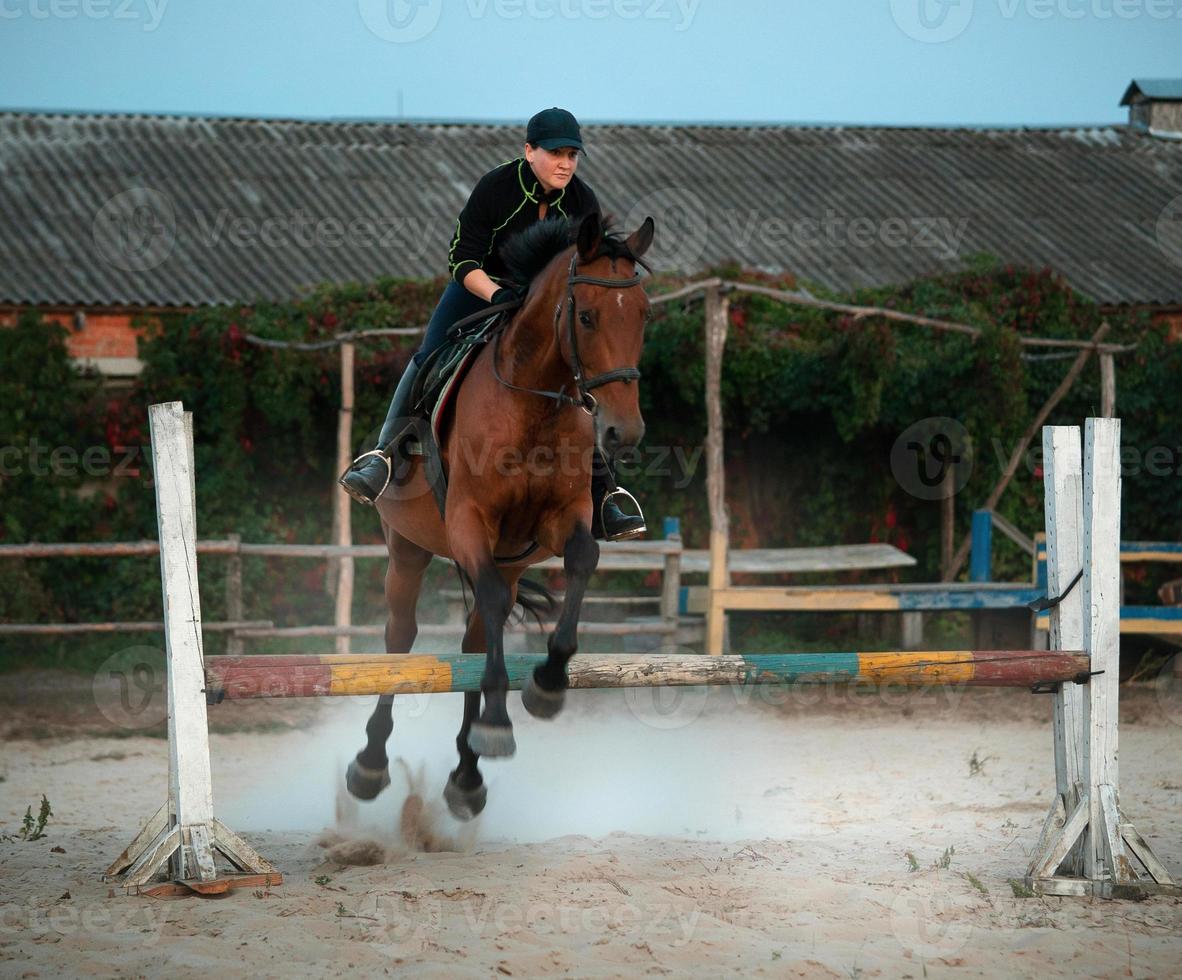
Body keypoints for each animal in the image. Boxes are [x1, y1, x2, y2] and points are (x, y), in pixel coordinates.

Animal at [345, 212, 657, 818]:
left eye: (643, 315)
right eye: (586, 316)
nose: (623, 434)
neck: (535, 402)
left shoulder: (563, 517)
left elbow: (583, 558)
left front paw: (548, 683)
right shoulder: (469, 520)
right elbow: (482, 597)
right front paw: (499, 719)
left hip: (511, 562)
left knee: (474, 638)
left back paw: (468, 774)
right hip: (408, 549)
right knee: (401, 637)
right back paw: (370, 764)